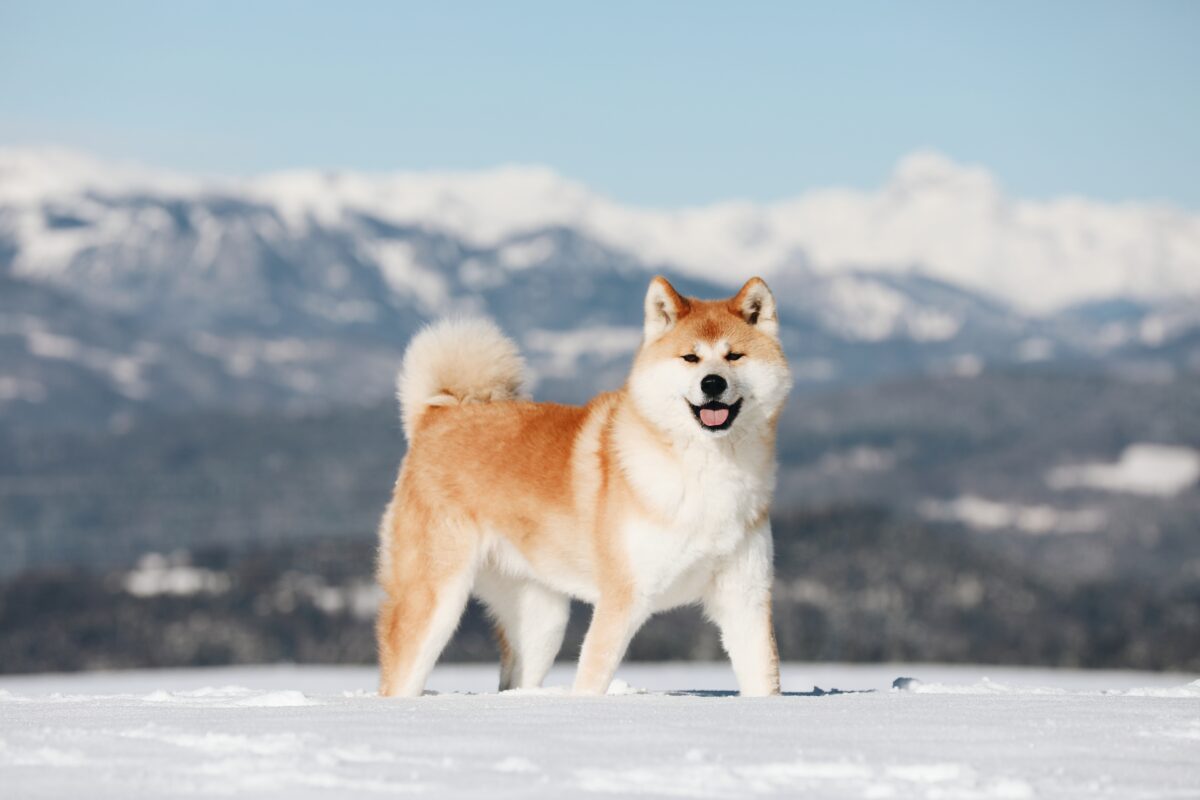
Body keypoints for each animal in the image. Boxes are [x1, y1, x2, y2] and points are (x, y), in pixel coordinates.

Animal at [374, 275, 787, 695]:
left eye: (734, 356)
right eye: (690, 358)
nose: (712, 383)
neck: (705, 470)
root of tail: (436, 416)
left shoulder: (745, 599)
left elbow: (763, 679)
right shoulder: (622, 599)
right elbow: (592, 678)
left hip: (541, 622)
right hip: (435, 602)